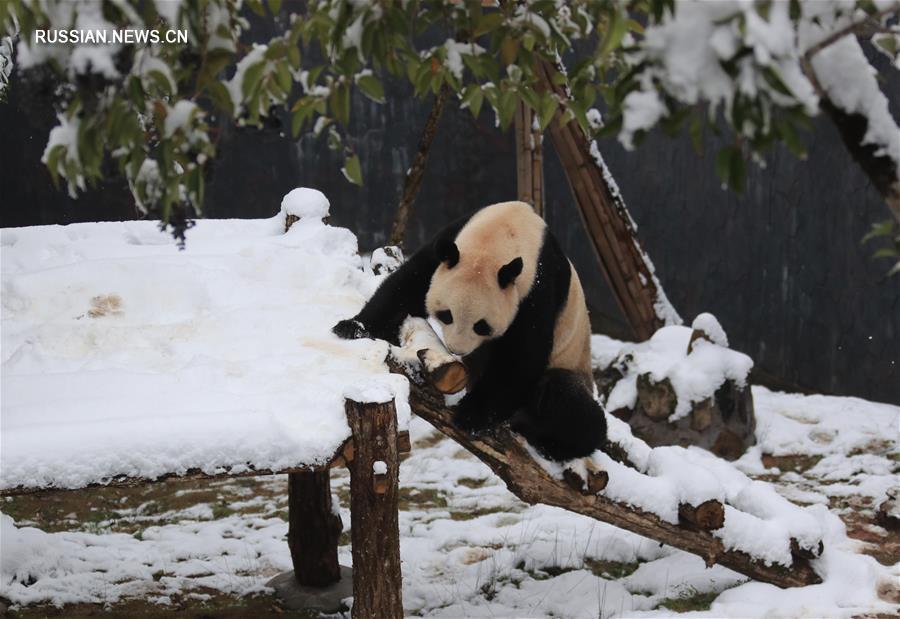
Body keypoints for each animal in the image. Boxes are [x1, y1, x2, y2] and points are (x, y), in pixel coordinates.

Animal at [334, 201, 608, 462]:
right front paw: (353, 328)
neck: (502, 237)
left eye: (481, 325)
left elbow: (522, 356)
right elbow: (406, 287)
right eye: (447, 314)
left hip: (572, 367)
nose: (457, 349)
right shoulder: (447, 245)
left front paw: (471, 415)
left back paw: (547, 440)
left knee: (568, 400)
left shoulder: (538, 287)